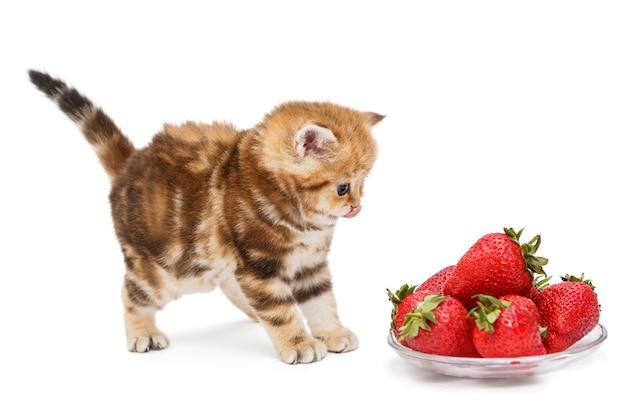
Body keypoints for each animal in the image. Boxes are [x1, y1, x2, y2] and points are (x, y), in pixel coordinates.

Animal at [29, 70, 382, 362]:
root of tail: (129, 164)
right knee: (130, 293)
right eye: (342, 188)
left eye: (363, 184)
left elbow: (322, 301)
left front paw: (333, 332)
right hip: (164, 274)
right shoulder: (259, 265)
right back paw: (143, 333)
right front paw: (299, 343)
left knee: (229, 284)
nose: (357, 207)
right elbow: (280, 311)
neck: (301, 219)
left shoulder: (309, 265)